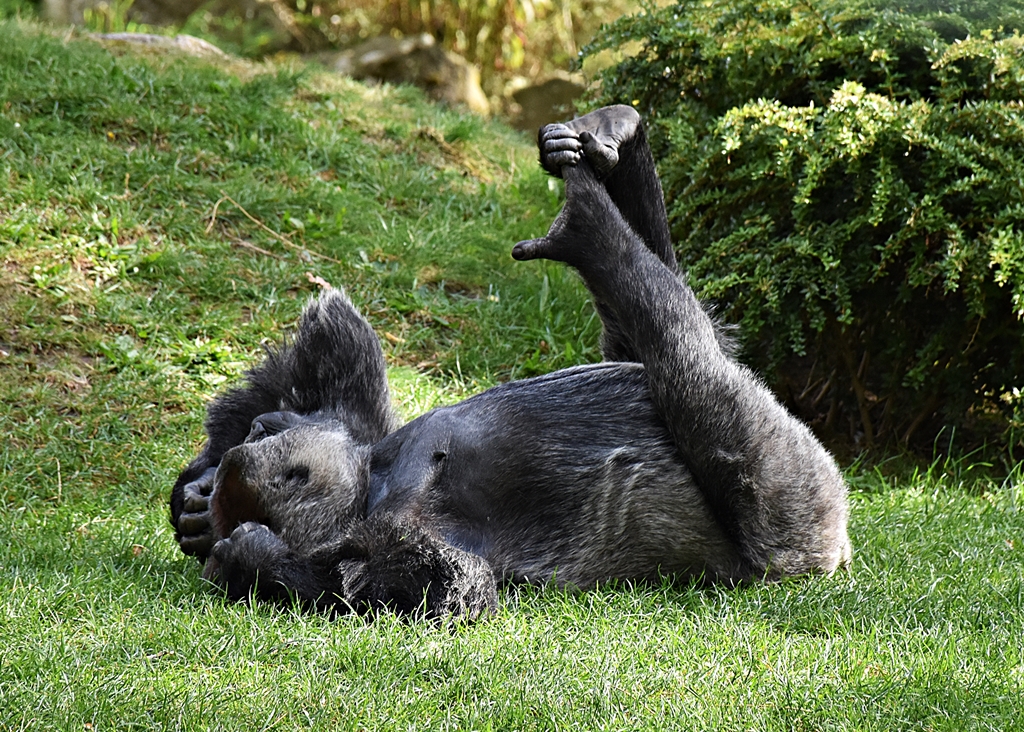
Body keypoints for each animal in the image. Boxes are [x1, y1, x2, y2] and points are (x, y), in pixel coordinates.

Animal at [169, 105, 851, 618]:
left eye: (262, 445)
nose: (225, 477)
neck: (375, 479)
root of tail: (839, 545)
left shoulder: (344, 419)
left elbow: (325, 357)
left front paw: (205, 492)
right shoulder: (398, 534)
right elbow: (438, 586)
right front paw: (248, 555)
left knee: (651, 348)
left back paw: (609, 139)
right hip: (791, 509)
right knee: (699, 378)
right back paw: (591, 226)